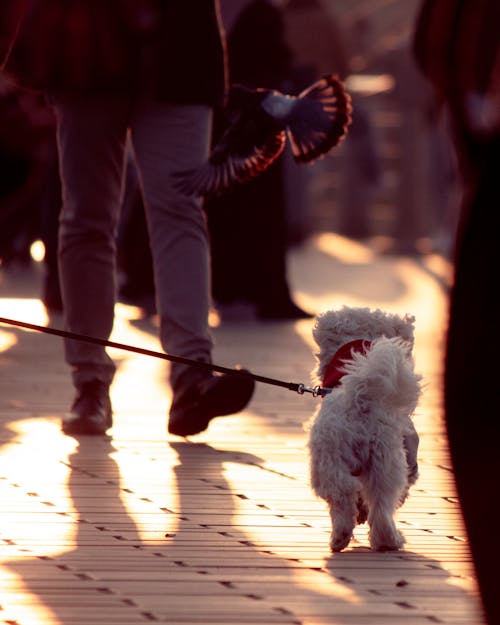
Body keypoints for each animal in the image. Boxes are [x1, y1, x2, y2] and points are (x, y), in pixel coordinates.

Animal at [308, 308, 422, 552]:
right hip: (387, 463)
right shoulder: (411, 461)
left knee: (345, 496)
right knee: (379, 505)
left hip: (333, 463)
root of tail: (360, 399)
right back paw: (387, 540)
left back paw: (342, 537)